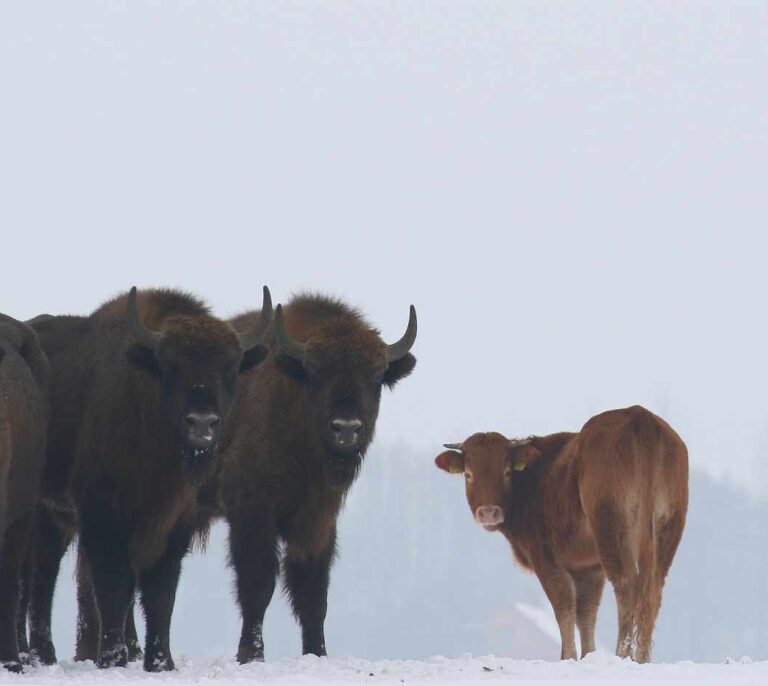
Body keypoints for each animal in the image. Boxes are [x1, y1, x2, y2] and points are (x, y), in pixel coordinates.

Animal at [24, 288, 272, 676]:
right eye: (171, 366)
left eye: (230, 368)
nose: (202, 423)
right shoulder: (103, 513)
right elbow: (114, 584)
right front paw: (113, 659)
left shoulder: (177, 521)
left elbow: (161, 591)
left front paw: (161, 662)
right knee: (33, 579)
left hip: (54, 518)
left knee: (43, 575)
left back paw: (43, 655)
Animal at [219, 294, 416, 660]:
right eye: (315, 375)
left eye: (376, 377)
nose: (346, 428)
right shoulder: (251, 513)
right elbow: (258, 584)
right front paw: (251, 655)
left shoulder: (319, 520)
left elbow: (312, 593)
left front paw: (317, 653)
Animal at [438, 406, 688, 664]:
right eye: (468, 474)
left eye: (506, 472)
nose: (488, 512)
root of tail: (639, 416)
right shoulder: (588, 567)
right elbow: (586, 612)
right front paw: (588, 655)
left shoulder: (546, 557)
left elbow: (564, 604)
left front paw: (567, 656)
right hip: (668, 528)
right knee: (654, 589)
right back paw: (642, 658)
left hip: (611, 528)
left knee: (626, 584)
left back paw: (623, 655)